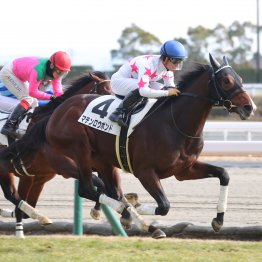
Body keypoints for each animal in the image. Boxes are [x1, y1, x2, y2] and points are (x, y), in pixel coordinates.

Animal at [0, 54, 256, 238]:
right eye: (226, 80)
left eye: (241, 80)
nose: (250, 107)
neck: (174, 122)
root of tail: (55, 114)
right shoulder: (145, 171)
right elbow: (163, 205)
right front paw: (136, 211)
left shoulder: (184, 170)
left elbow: (223, 174)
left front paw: (218, 220)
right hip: (77, 152)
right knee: (86, 188)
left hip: (97, 162)